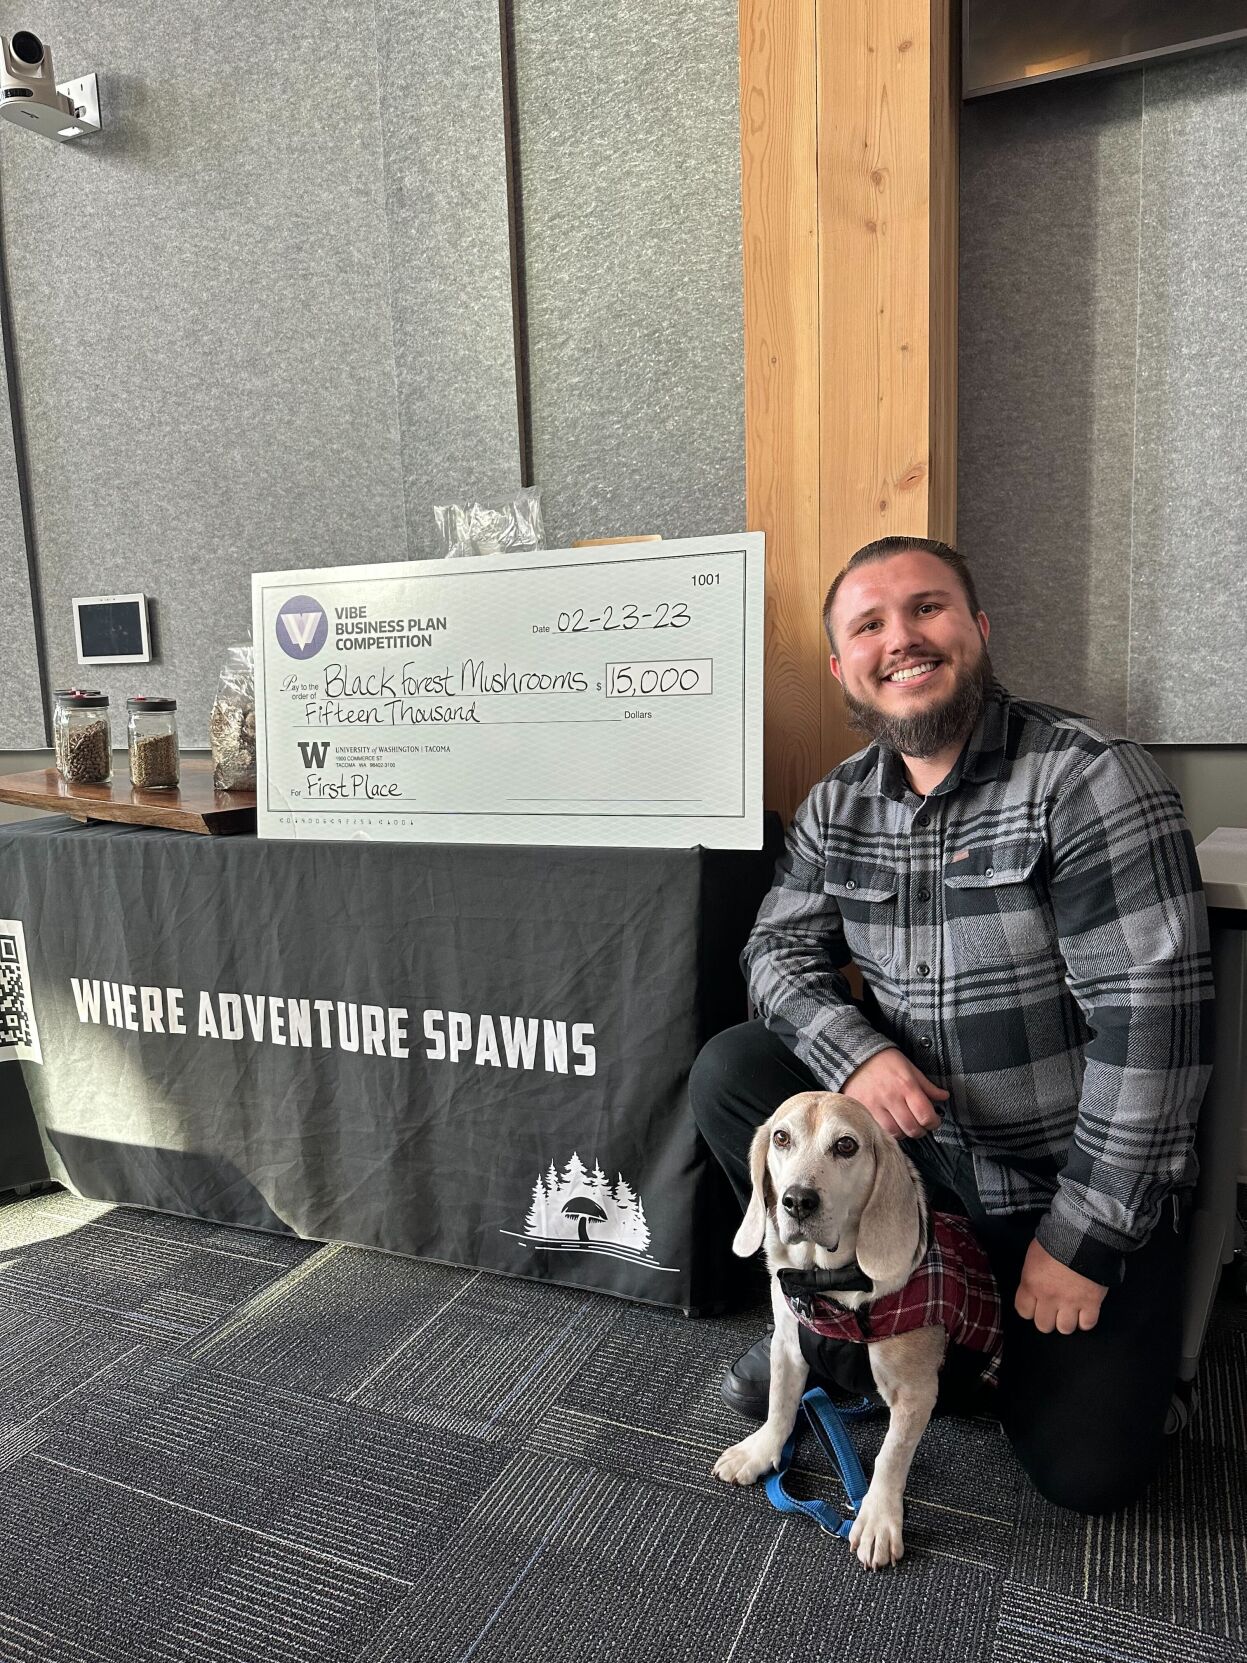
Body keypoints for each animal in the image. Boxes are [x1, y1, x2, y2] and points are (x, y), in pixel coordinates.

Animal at [711, 1090, 997, 1569]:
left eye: (846, 1146)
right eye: (781, 1138)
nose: (797, 1200)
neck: (825, 1286)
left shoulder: (915, 1393)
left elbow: (890, 1457)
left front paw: (878, 1517)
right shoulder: (787, 1347)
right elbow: (780, 1407)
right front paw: (762, 1450)